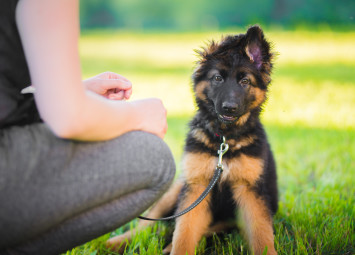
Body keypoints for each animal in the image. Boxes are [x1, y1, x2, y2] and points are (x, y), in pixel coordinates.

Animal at [107, 24, 280, 254]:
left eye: (245, 81)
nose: (229, 108)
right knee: (147, 225)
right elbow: (184, 232)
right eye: (217, 78)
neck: (224, 141)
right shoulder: (196, 185)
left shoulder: (250, 191)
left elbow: (262, 234)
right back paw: (117, 242)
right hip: (177, 188)